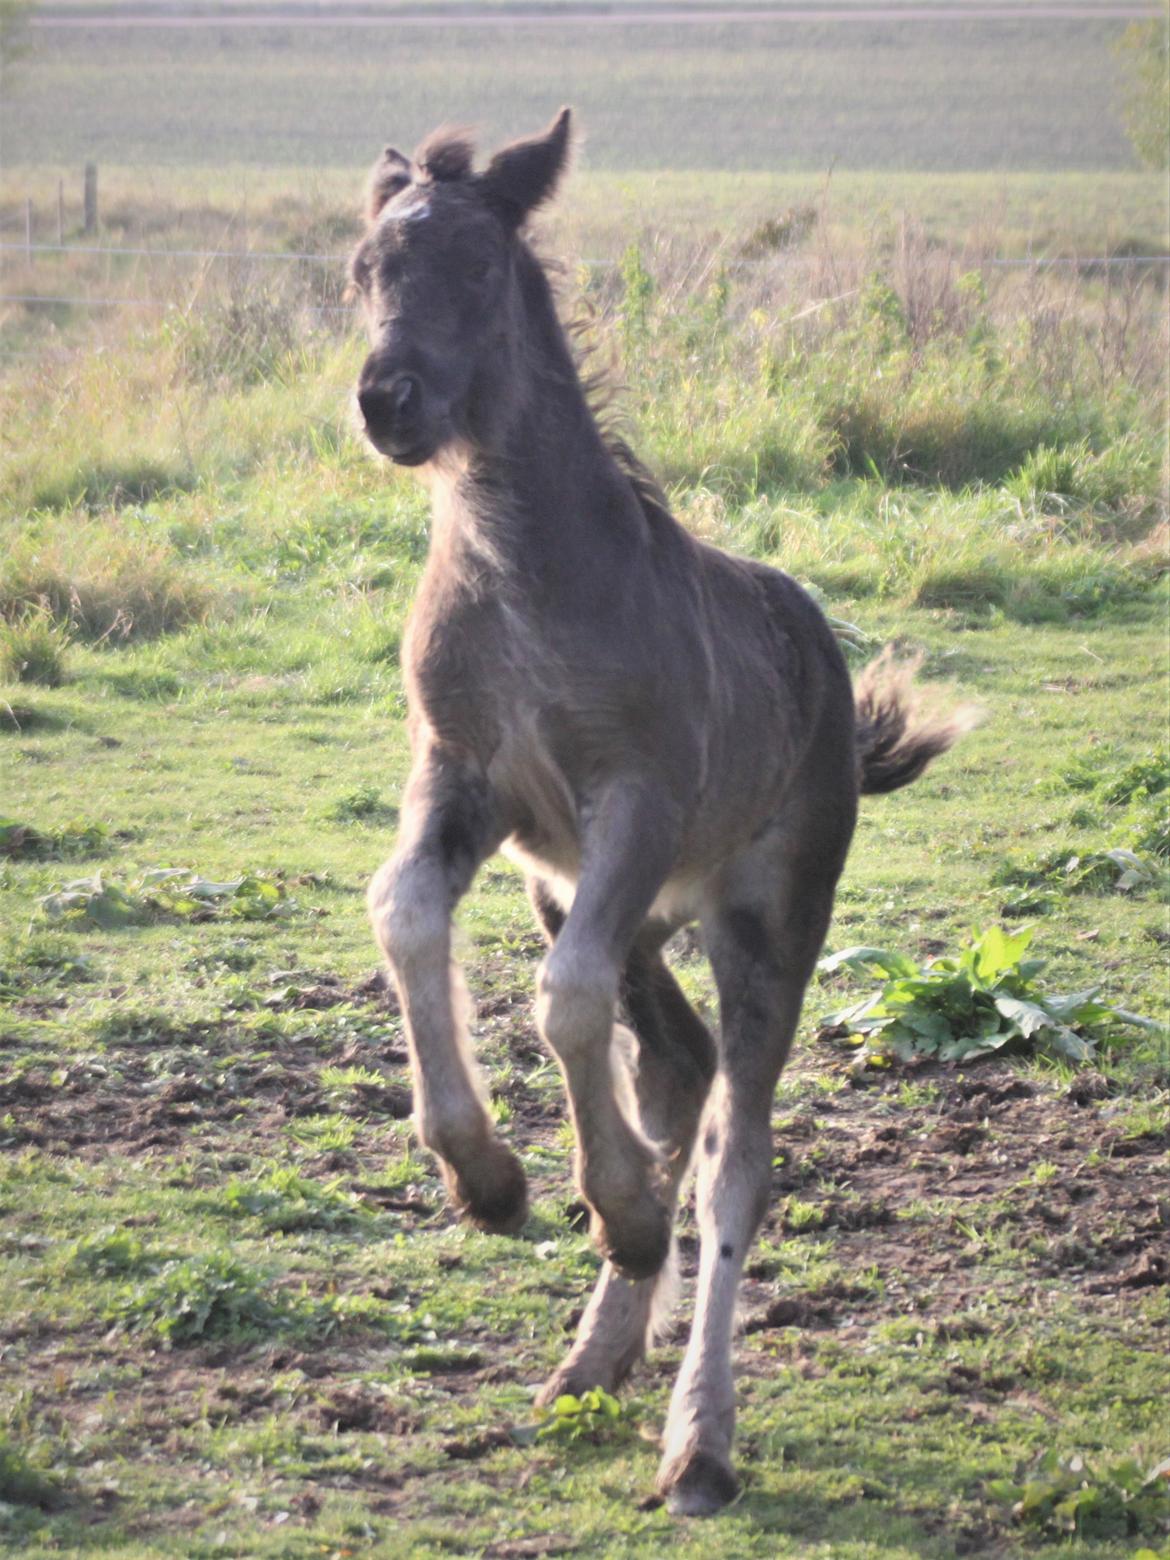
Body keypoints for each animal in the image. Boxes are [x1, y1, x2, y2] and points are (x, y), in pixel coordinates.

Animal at [350, 108, 966, 1515]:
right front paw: (490, 1180)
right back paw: (595, 1355)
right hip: (592, 897)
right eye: (366, 268)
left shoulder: (633, 803)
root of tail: (824, 664)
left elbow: (566, 1002)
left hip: (762, 918)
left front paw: (613, 1205)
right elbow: (406, 915)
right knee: (673, 1059)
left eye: (476, 266)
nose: (386, 401)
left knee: (738, 1145)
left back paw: (701, 1439)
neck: (523, 574)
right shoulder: (467, 783)